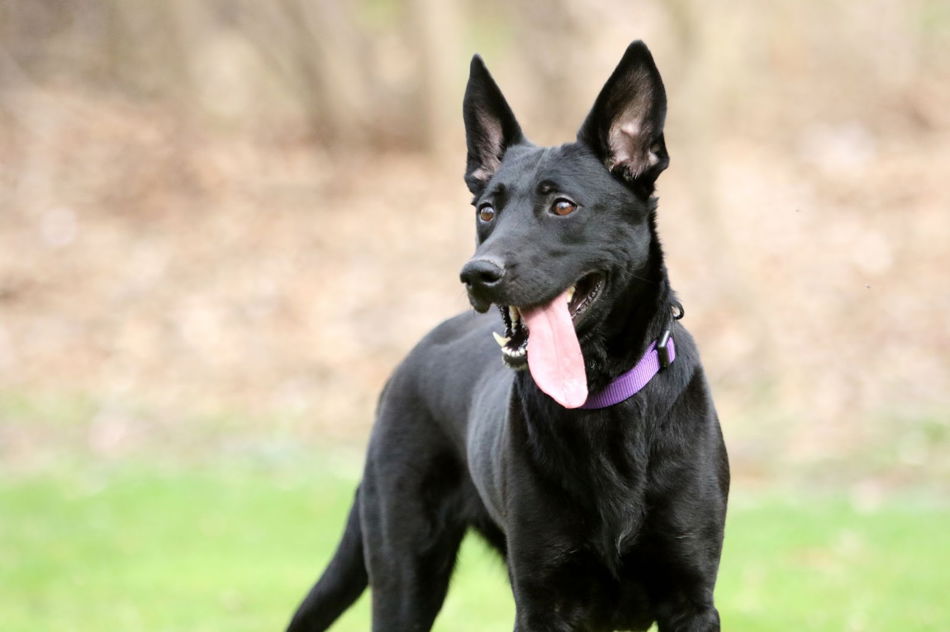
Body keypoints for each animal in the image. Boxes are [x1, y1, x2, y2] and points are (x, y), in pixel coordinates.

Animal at [286, 40, 732, 632]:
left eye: (562, 205)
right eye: (486, 211)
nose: (477, 274)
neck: (601, 400)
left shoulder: (690, 599)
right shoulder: (542, 600)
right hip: (404, 572)